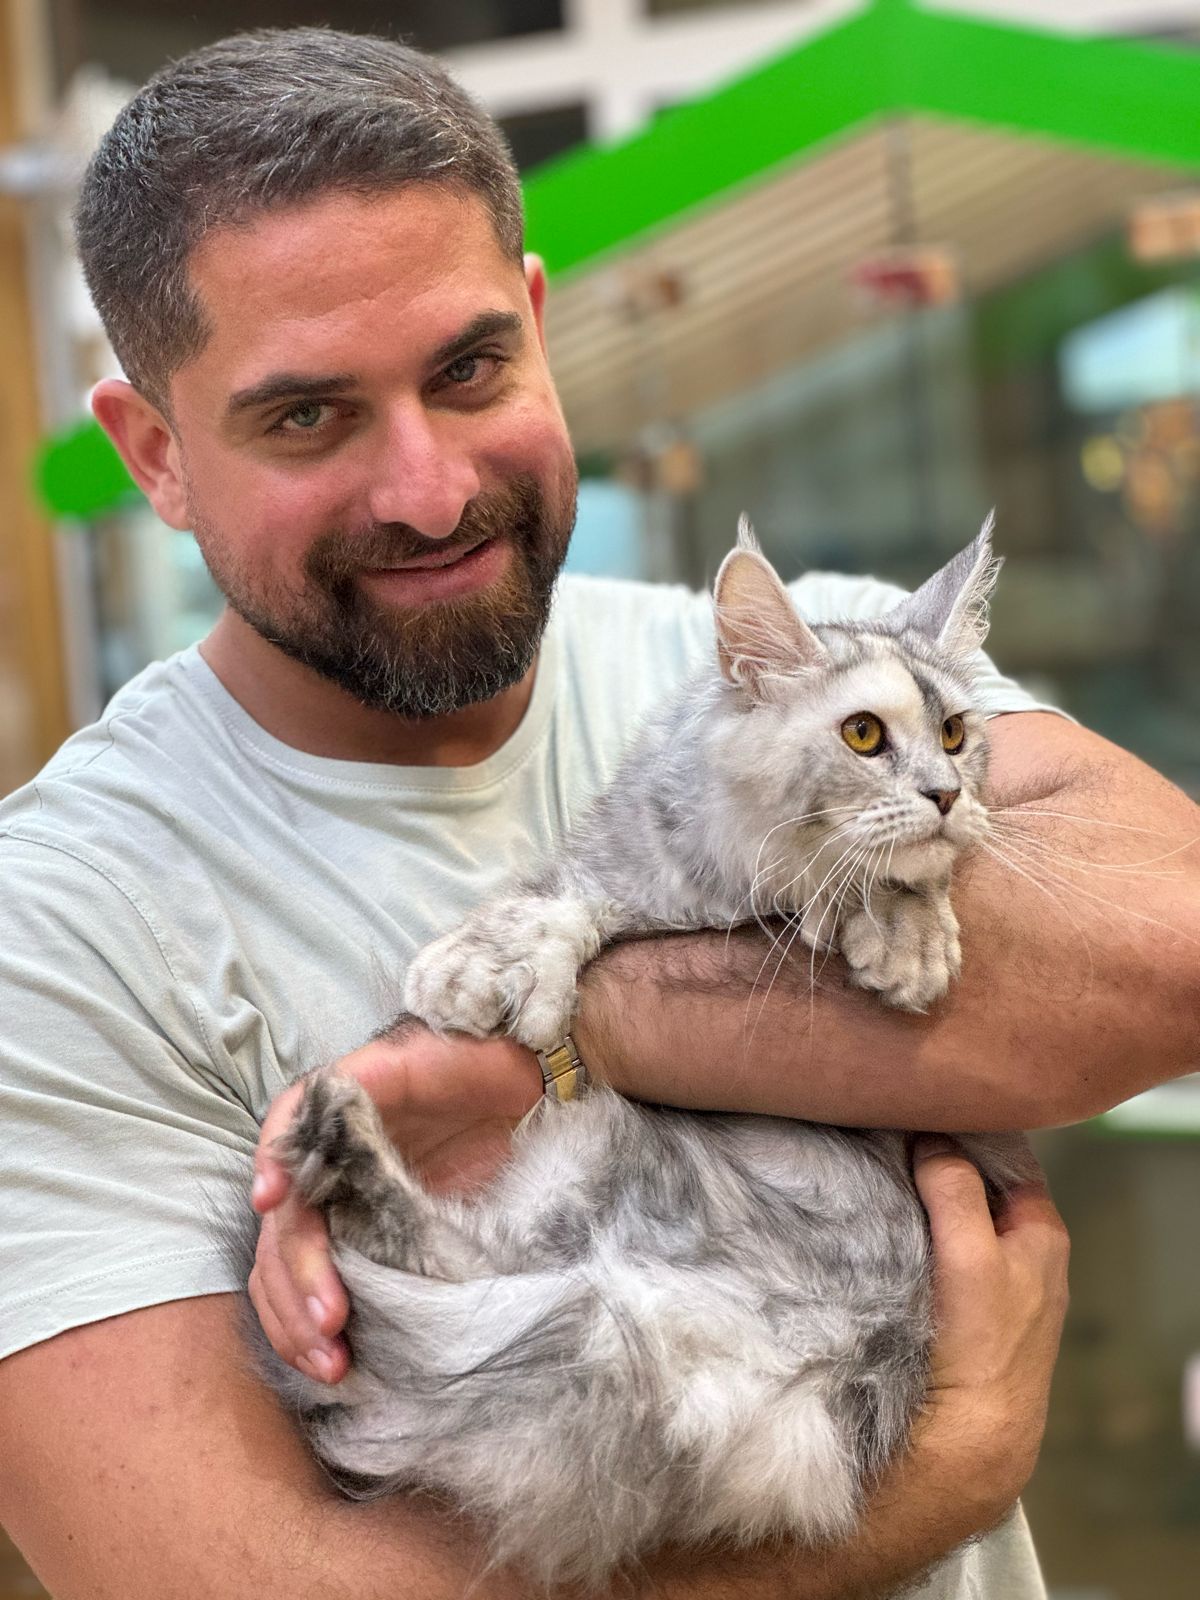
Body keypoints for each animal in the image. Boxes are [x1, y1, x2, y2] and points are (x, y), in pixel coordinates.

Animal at [259, 521, 1030, 1587]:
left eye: (956, 735)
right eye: (864, 736)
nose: (946, 794)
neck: (747, 893)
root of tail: (784, 1342)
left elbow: (895, 878)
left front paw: (904, 938)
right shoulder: (626, 877)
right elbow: (566, 903)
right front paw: (474, 970)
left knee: (459, 1263)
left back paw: (341, 1144)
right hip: (588, 1175)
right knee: (456, 1259)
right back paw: (339, 1138)